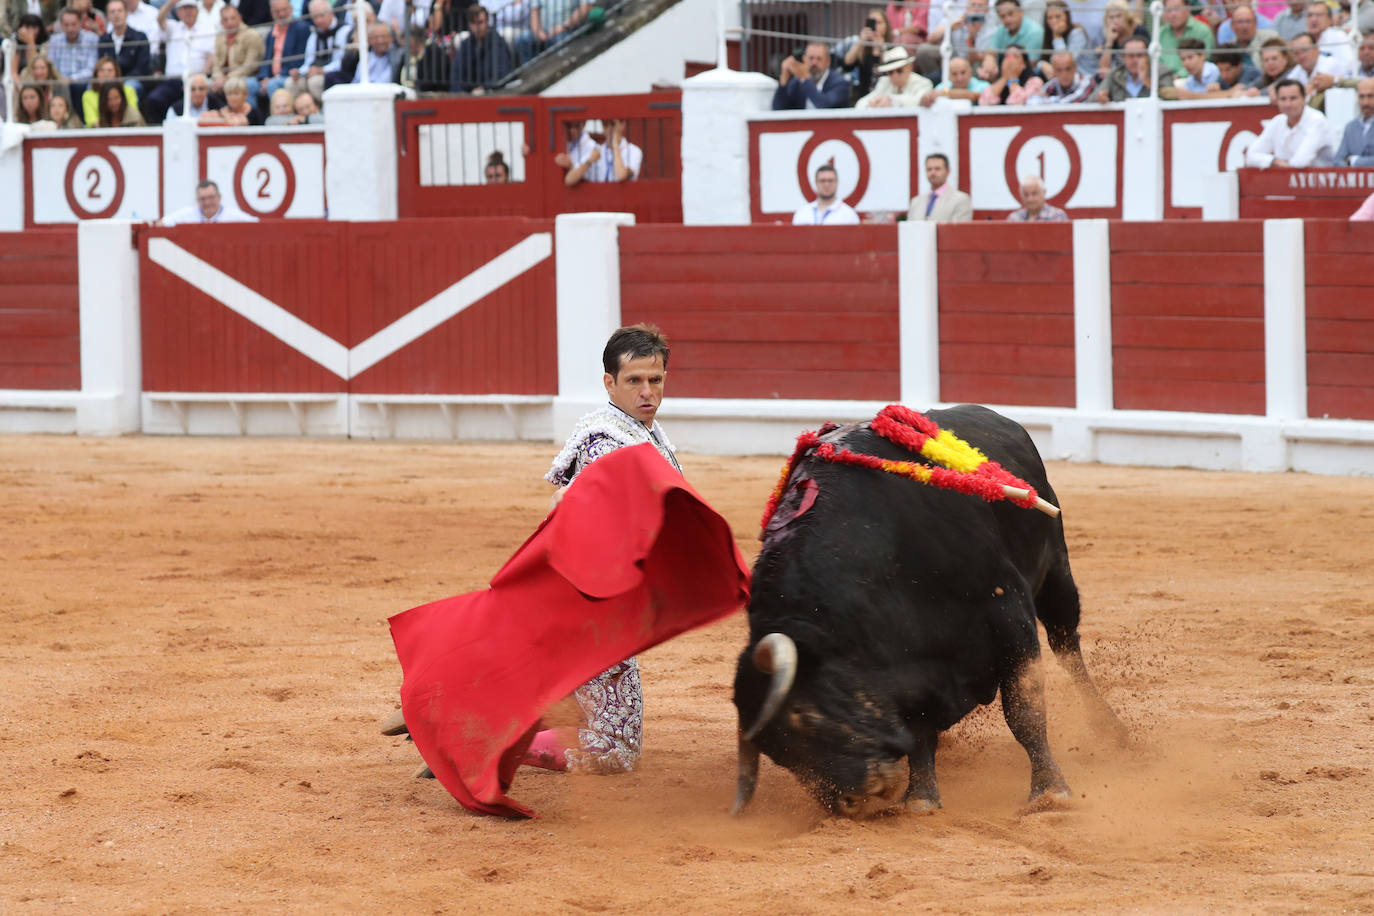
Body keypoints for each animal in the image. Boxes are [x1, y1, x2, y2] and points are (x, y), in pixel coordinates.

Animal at [736, 403, 1121, 818]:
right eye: (777, 754)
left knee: (1067, 647)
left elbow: (1024, 710)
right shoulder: (908, 660)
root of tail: (1000, 418)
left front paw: (1050, 791)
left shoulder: (1008, 610)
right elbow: (919, 727)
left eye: (804, 717)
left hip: (1056, 572)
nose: (850, 802)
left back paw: (1113, 731)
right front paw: (921, 798)